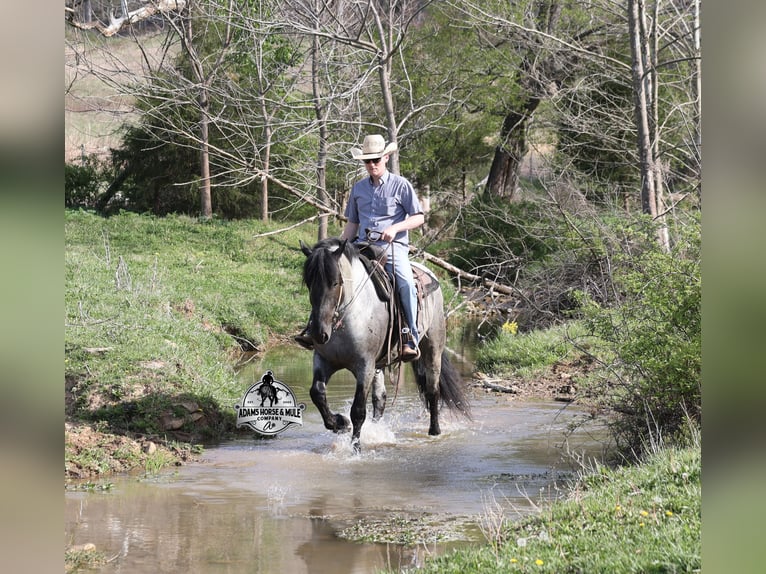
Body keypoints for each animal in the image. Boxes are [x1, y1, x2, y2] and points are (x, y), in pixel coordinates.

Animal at [299, 237, 471, 452]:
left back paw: (434, 431)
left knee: (433, 390)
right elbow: (317, 393)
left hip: (432, 349)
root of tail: (430, 273)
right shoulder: (324, 360)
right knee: (380, 399)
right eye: (309, 283)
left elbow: (358, 410)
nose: (318, 333)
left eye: (335, 282)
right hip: (379, 365)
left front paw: (355, 447)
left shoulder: (365, 365)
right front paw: (340, 423)